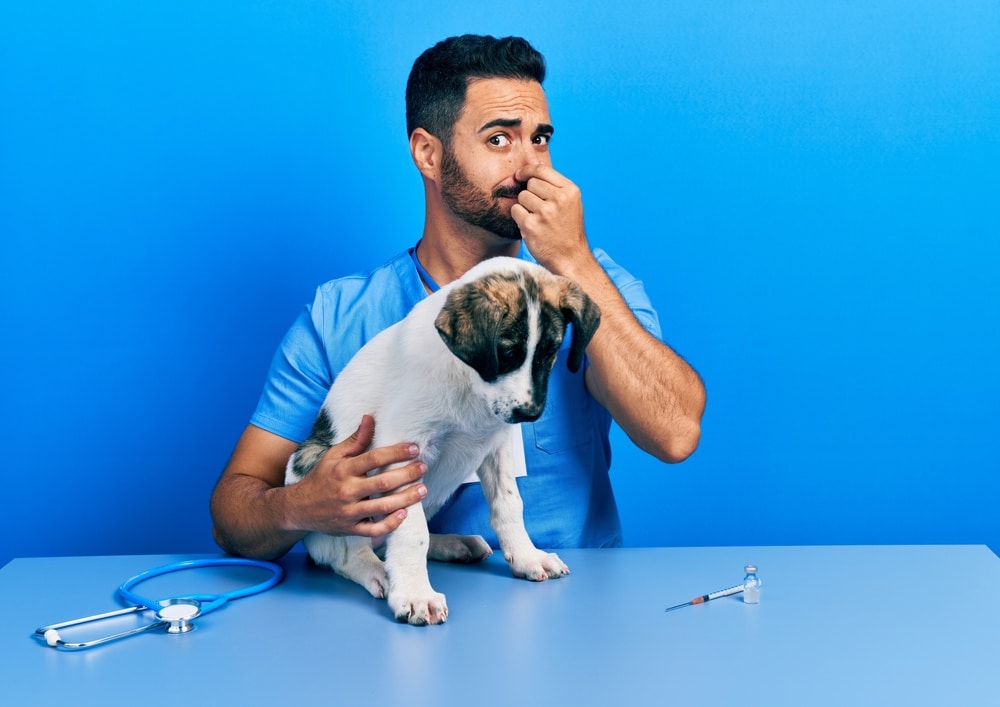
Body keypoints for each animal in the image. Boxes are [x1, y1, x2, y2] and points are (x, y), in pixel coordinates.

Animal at [290, 256, 600, 624]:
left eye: (551, 351)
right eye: (507, 352)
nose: (530, 413)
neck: (469, 384)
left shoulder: (495, 447)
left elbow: (509, 504)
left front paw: (526, 556)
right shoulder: (401, 450)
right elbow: (411, 531)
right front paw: (415, 594)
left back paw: (452, 544)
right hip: (319, 468)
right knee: (345, 552)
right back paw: (377, 571)